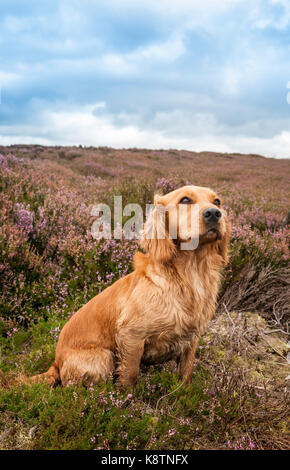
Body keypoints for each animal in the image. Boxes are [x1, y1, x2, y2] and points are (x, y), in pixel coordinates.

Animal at [31, 185, 231, 388]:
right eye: (184, 200)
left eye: (217, 202)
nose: (214, 213)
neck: (190, 274)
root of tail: (56, 363)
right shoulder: (131, 336)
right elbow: (130, 377)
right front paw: (126, 396)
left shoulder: (191, 341)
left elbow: (186, 375)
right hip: (103, 358)